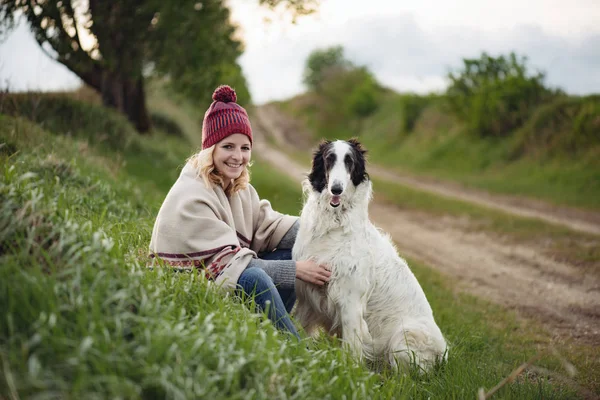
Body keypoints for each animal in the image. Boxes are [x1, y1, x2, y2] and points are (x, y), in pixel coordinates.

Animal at [292, 139, 448, 370]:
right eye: (329, 158)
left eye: (350, 161)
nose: (336, 189)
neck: (334, 223)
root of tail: (444, 353)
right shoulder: (306, 294)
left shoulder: (350, 301)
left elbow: (351, 351)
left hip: (404, 338)